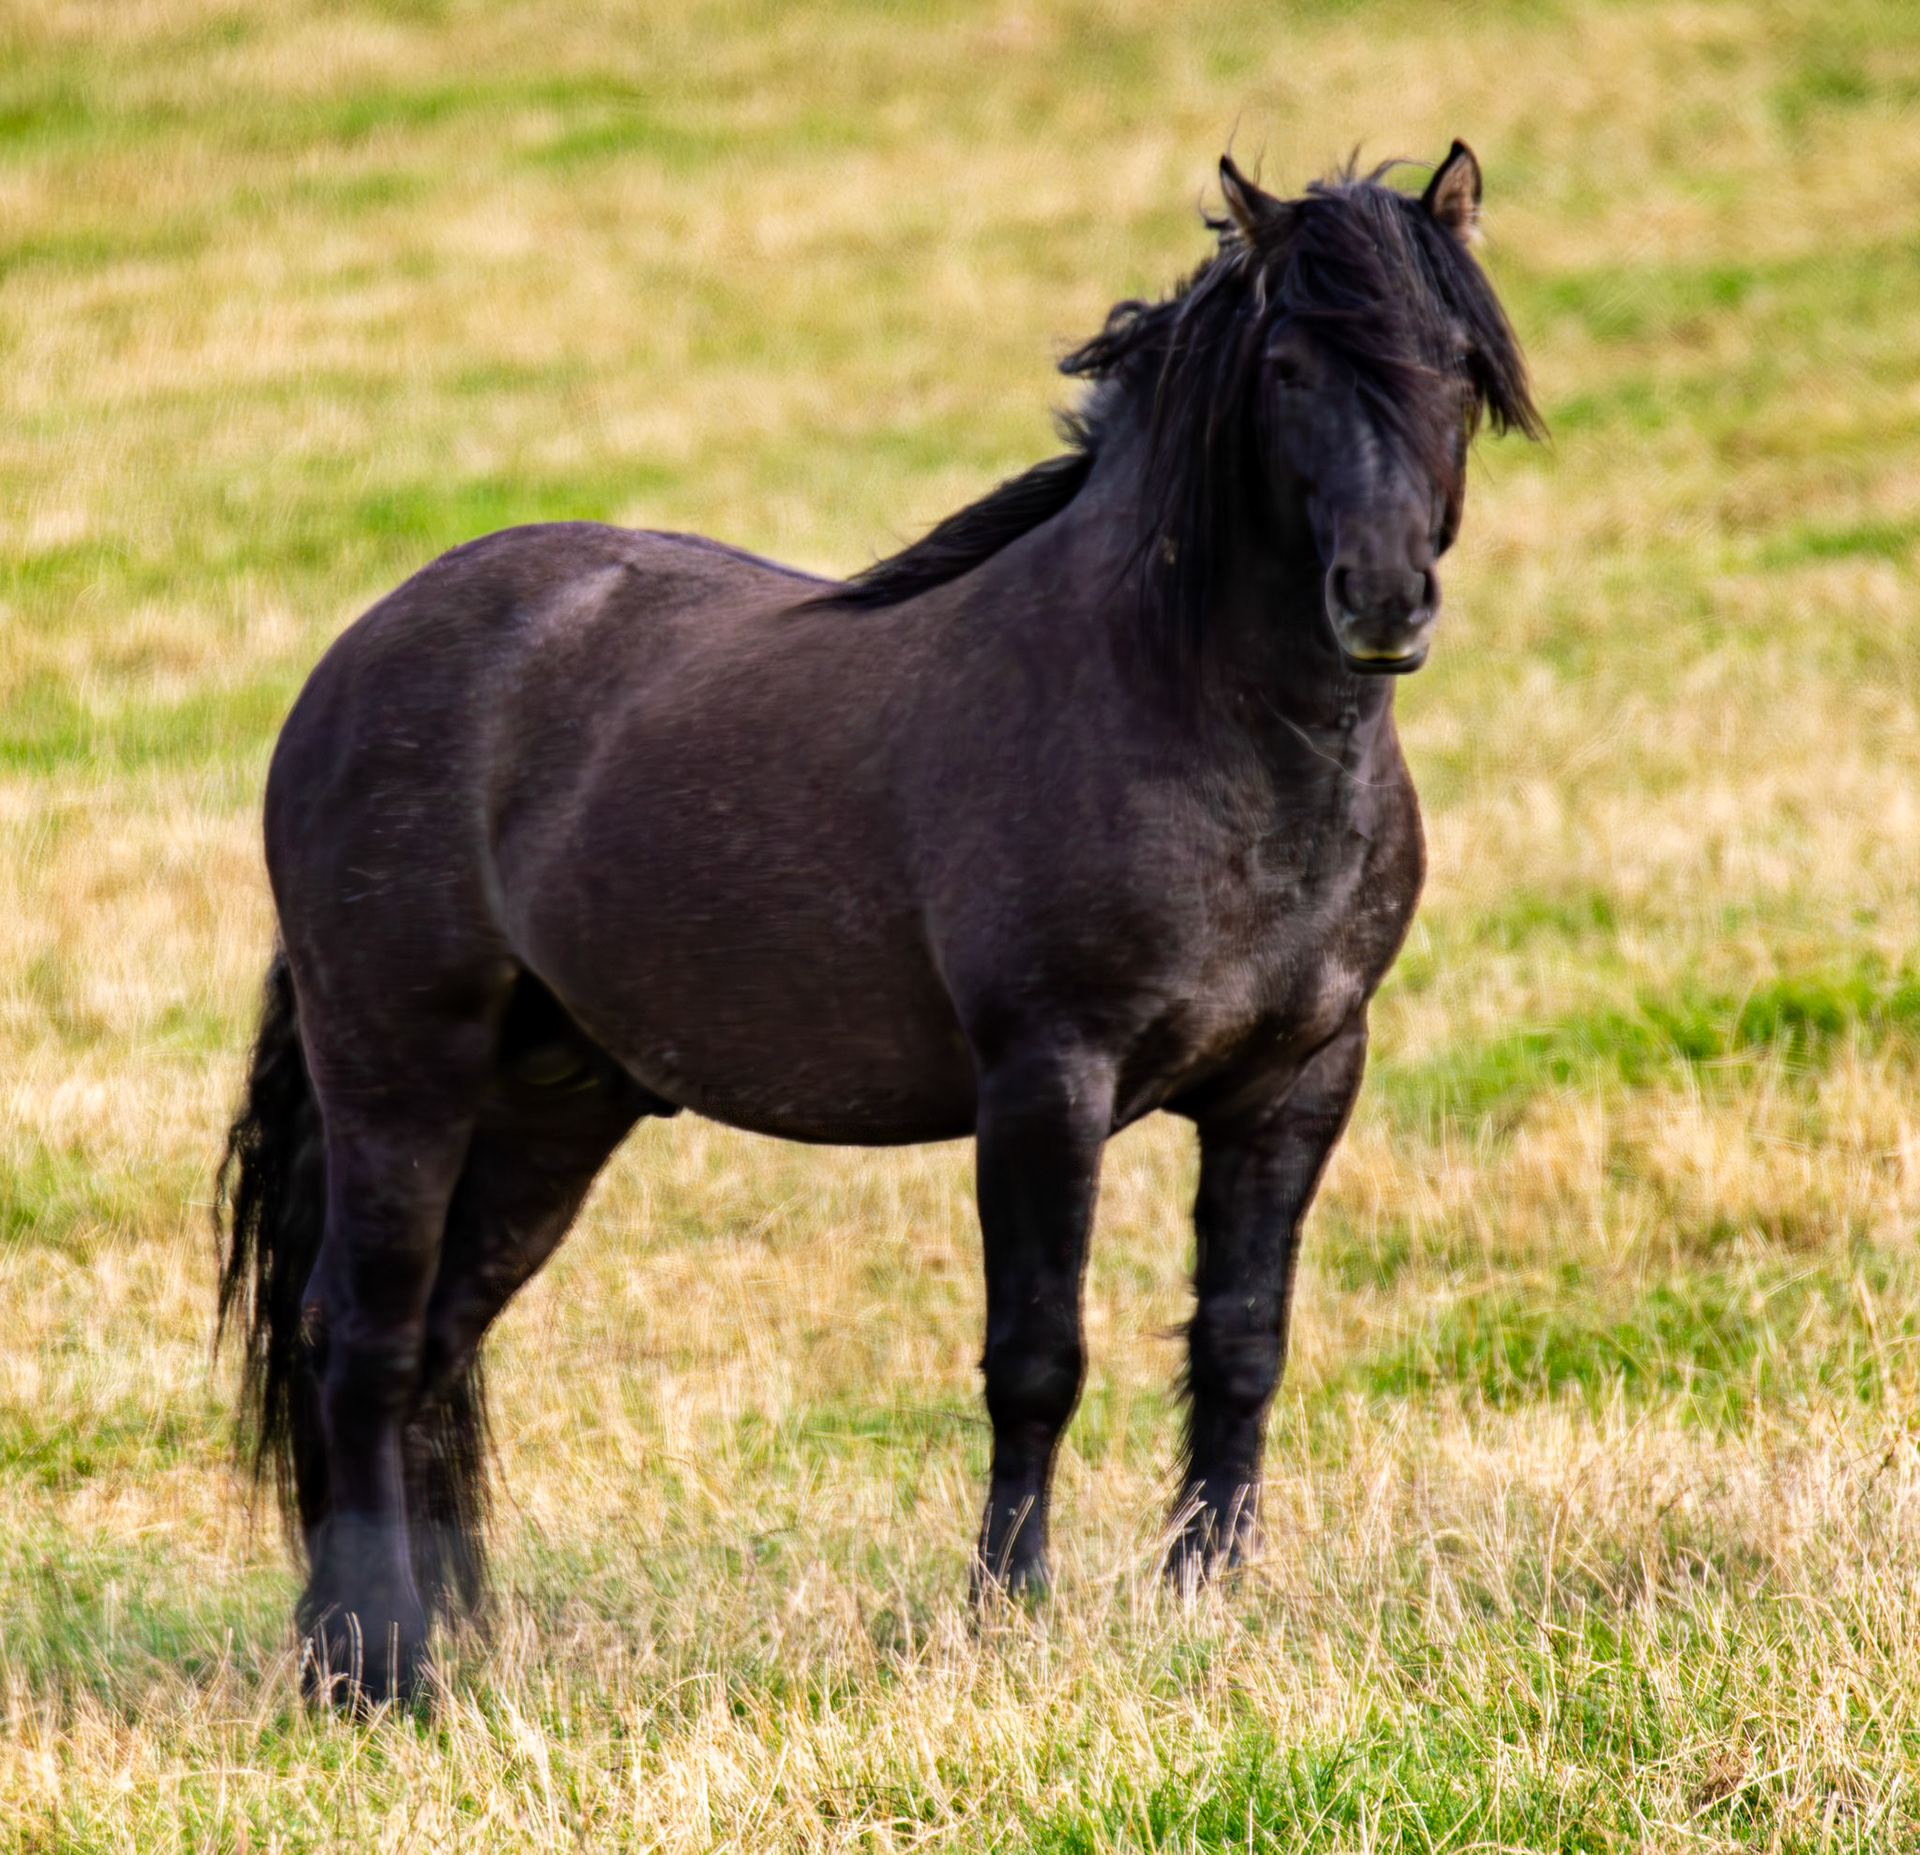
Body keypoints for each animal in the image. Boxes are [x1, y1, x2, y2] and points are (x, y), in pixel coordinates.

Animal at [216, 141, 1540, 1707]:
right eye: (1286, 367)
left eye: (1456, 362)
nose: (1384, 599)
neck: (1188, 713)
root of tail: (355, 659)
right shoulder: (1045, 1080)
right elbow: (1037, 1358)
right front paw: (1007, 1612)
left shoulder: (1299, 1081)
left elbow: (1241, 1342)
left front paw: (1203, 1600)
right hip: (399, 1077)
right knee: (355, 1340)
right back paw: (384, 1668)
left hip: (552, 1107)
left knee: (433, 1343)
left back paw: (399, 1640)